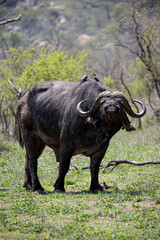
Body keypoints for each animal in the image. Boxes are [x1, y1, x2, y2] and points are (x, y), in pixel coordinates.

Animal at [16, 75, 146, 193]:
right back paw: (38, 187)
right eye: (103, 101)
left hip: (41, 142)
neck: (93, 128)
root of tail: (22, 101)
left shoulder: (101, 149)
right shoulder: (66, 146)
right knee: (33, 159)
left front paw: (96, 187)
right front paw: (59, 187)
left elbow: (95, 168)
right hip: (29, 135)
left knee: (27, 158)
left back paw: (28, 185)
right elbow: (64, 166)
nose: (111, 106)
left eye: (120, 102)